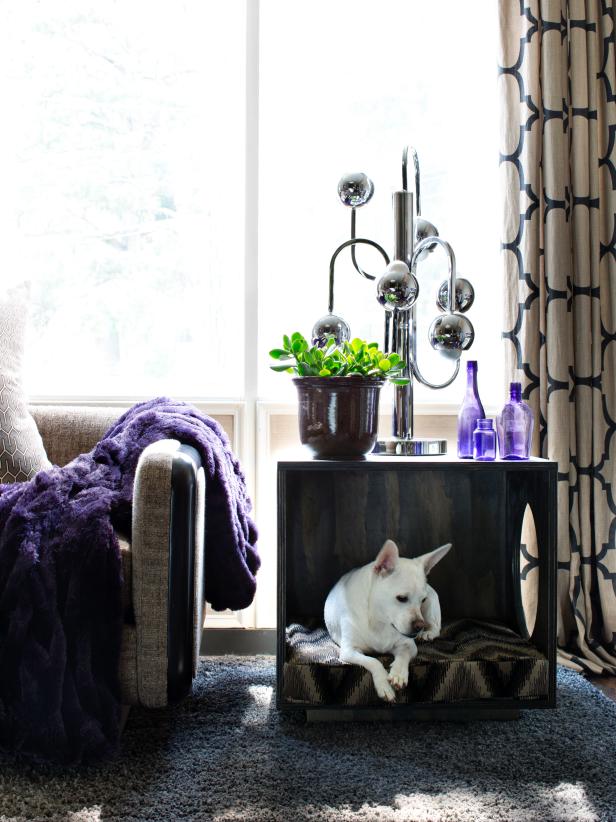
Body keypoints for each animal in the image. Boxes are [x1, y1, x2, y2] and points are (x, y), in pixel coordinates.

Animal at [324, 540, 450, 700]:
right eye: (401, 598)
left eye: (422, 600)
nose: (419, 625)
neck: (380, 620)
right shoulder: (349, 651)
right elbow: (373, 661)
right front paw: (384, 684)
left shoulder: (409, 646)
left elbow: (403, 656)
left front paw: (398, 673)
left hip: (431, 604)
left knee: (436, 626)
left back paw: (428, 633)